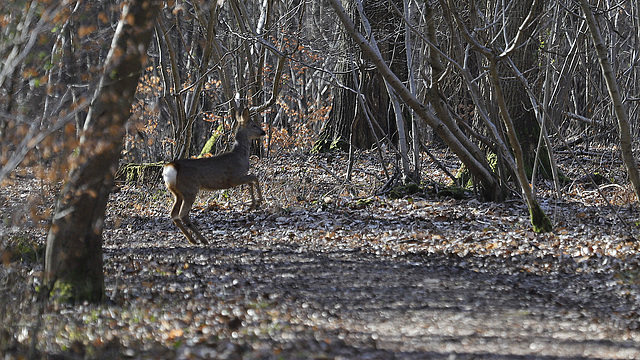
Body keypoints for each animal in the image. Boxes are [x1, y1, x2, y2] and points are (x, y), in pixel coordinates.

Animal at [165, 107, 268, 245]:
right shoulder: (234, 178)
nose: (263, 132)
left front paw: (252, 205)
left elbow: (251, 181)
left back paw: (192, 239)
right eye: (253, 125)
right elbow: (254, 178)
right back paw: (203, 239)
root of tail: (170, 168)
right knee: (182, 214)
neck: (240, 155)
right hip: (190, 189)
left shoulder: (237, 179)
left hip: (177, 193)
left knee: (173, 214)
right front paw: (258, 202)